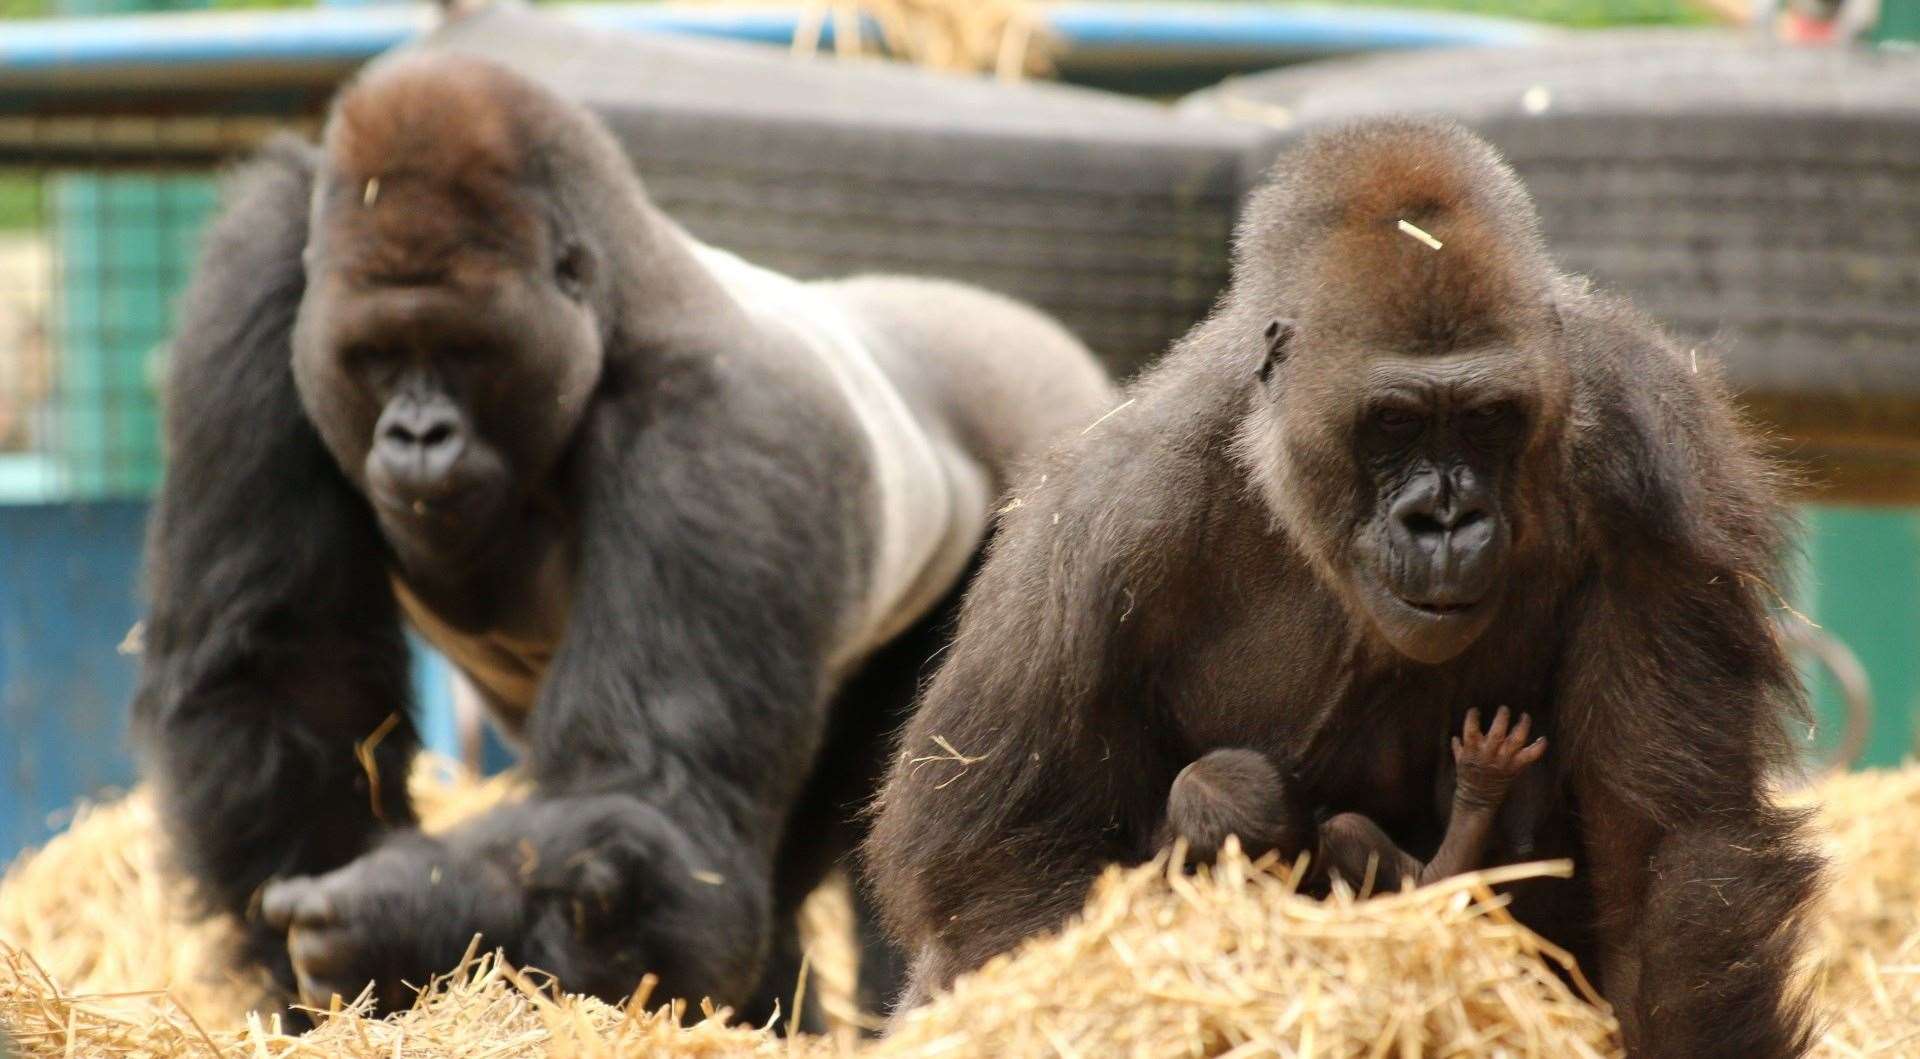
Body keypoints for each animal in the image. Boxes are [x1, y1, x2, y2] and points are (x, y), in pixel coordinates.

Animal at [135, 51, 1121, 1028]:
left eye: (469, 352)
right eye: (376, 356)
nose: (419, 437)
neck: (610, 301)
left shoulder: (719, 428)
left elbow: (654, 811)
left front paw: (401, 915)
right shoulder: (258, 272)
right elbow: (287, 672)